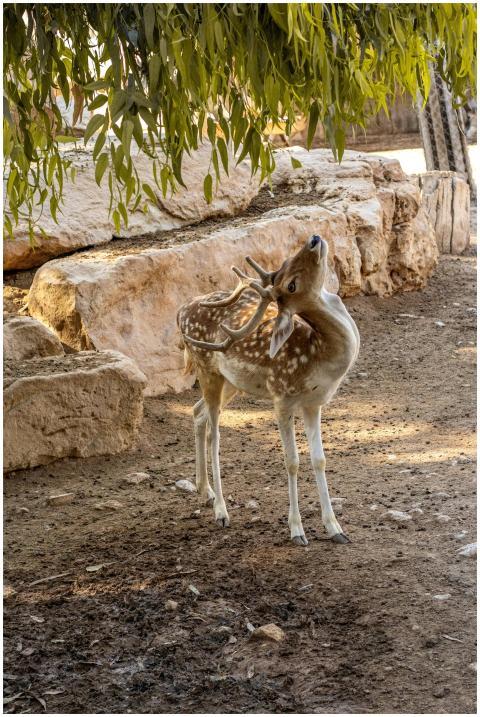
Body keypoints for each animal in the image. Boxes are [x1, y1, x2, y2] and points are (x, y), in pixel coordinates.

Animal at [176, 235, 360, 546]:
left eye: (286, 262)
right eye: (291, 285)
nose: (314, 239)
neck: (318, 357)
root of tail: (180, 311)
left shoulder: (314, 403)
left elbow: (319, 459)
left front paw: (335, 528)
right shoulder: (282, 397)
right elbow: (292, 461)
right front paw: (297, 530)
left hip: (230, 382)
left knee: (196, 411)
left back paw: (205, 491)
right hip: (206, 369)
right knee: (215, 434)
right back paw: (221, 511)